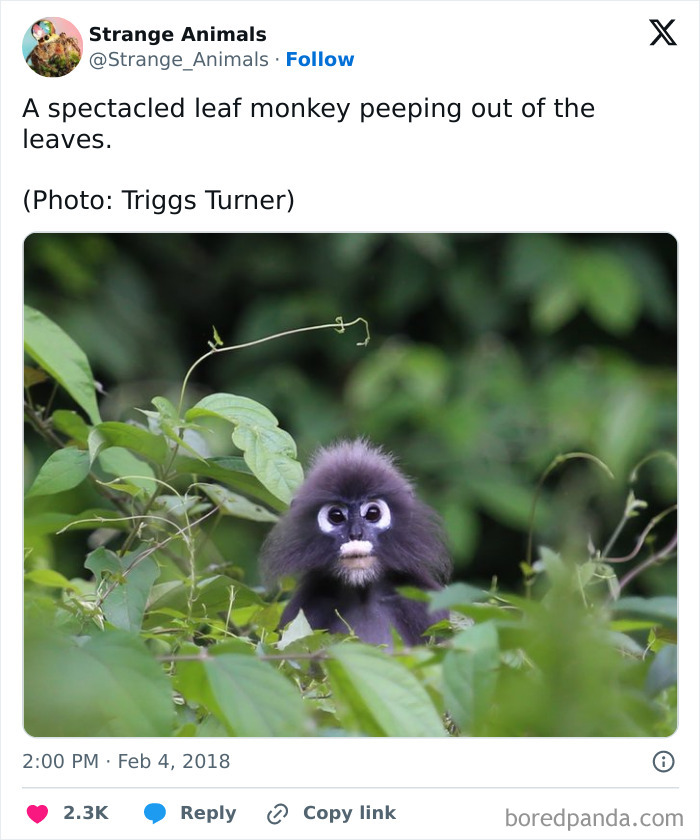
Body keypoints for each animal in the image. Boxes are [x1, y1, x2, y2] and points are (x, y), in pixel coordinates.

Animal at [261, 439, 451, 646]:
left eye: (373, 513)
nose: (356, 534)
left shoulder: (427, 608)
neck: (362, 593)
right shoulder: (301, 612)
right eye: (336, 515)